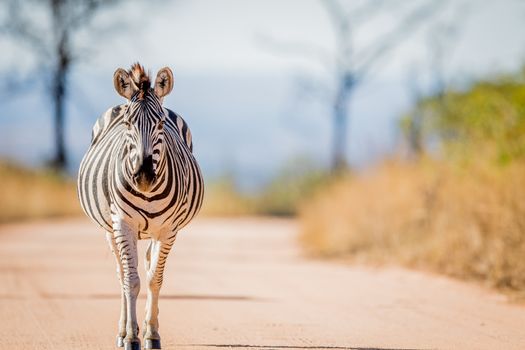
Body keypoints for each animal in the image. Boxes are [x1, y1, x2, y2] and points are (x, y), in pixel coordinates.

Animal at [78, 63, 205, 350]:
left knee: (145, 266)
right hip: (111, 230)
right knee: (122, 274)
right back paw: (123, 331)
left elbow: (154, 279)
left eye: (160, 124)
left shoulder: (168, 230)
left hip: (151, 232)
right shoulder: (122, 224)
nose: (144, 176)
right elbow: (131, 281)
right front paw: (131, 336)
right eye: (128, 124)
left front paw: (151, 334)